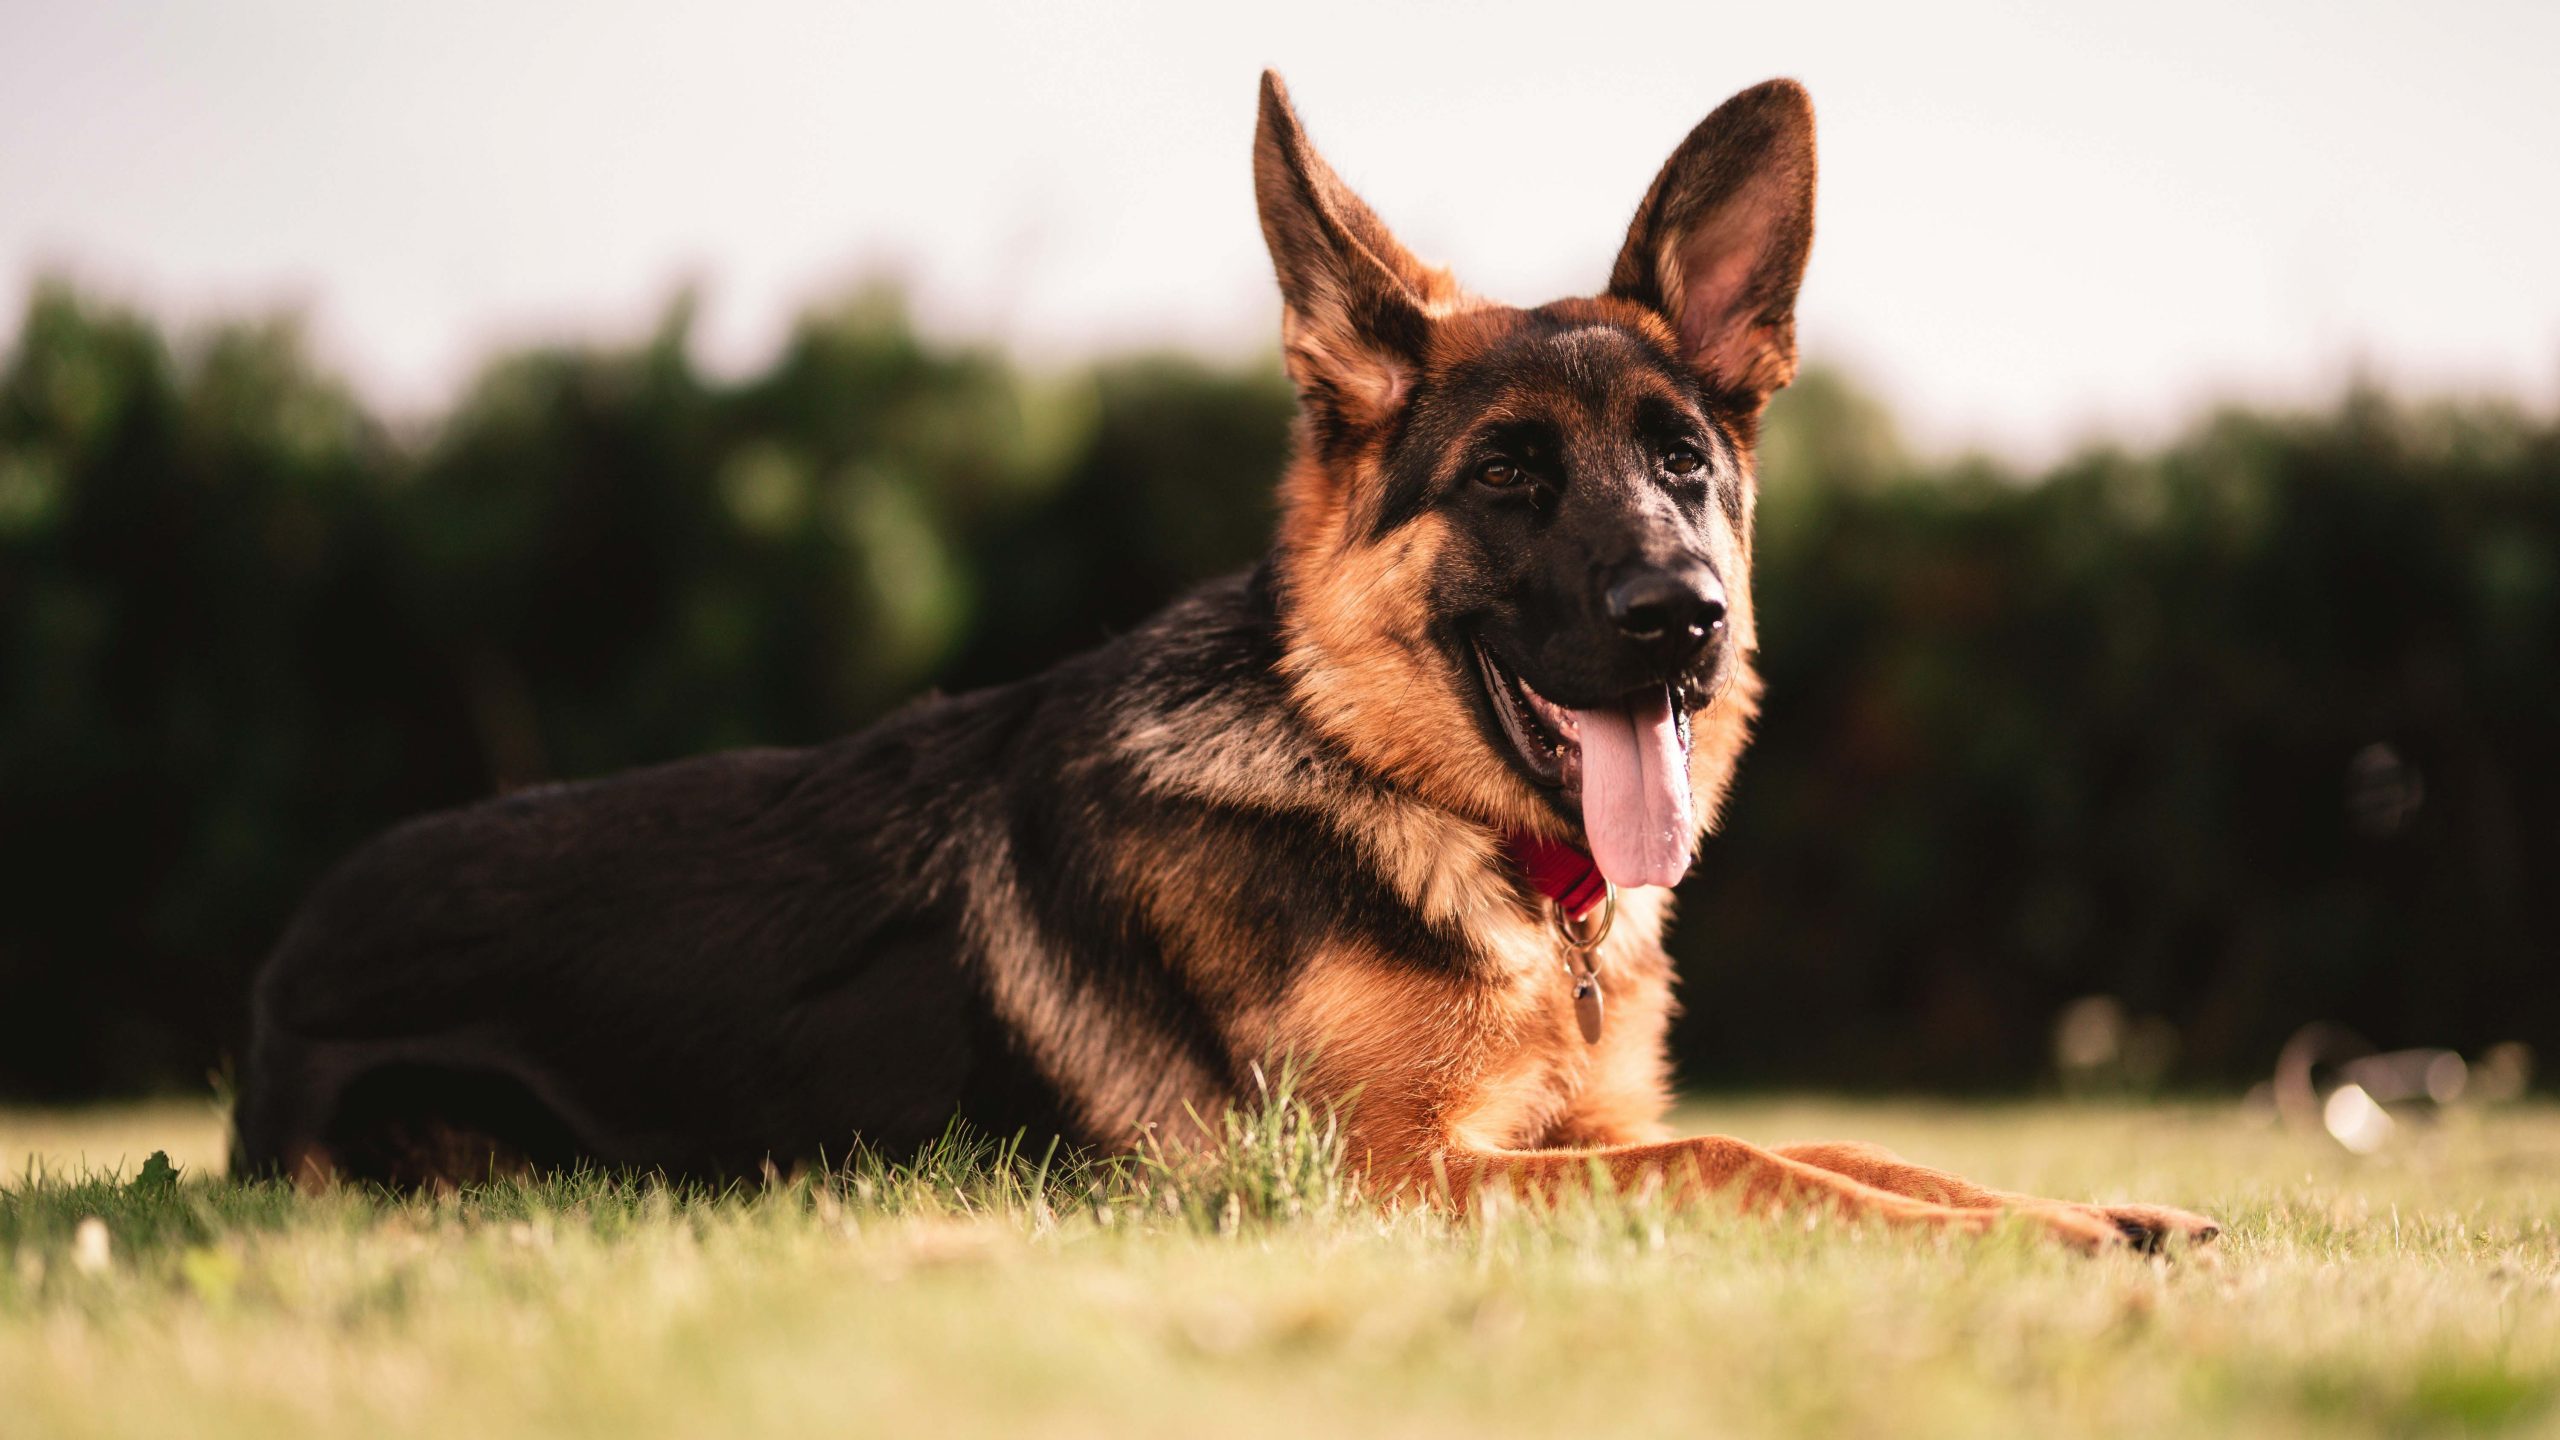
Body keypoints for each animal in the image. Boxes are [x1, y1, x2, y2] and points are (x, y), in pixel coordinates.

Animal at [235, 75, 2222, 1245]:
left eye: (1684, 464)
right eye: (1508, 476)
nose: (1684, 618)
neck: (1396, 795)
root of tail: (292, 942)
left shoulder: (1551, 1137)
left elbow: (1859, 1153)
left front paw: (2101, 1216)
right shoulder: (1403, 1177)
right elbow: (1733, 1159)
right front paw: (2052, 1242)